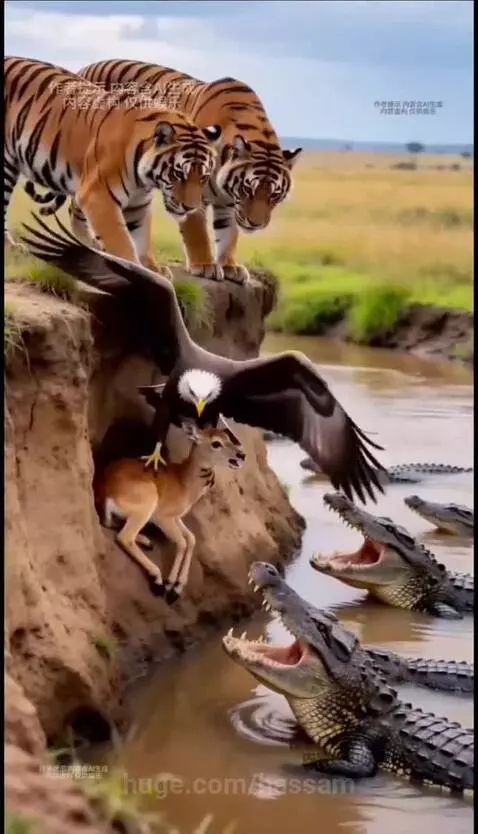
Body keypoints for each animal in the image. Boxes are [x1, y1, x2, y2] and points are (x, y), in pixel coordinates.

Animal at [5, 56, 222, 278]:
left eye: (203, 177)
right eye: (179, 174)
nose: (190, 208)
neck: (144, 180)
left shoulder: (138, 205)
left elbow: (142, 238)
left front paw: (153, 268)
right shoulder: (99, 196)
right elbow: (122, 241)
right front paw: (135, 270)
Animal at [72, 59, 303, 285]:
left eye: (274, 195)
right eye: (248, 189)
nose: (256, 224)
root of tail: (85, 67)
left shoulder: (229, 202)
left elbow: (228, 233)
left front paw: (230, 266)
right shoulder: (194, 189)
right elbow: (197, 231)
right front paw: (206, 266)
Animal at [94, 418, 246, 604]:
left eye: (228, 437)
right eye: (216, 443)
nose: (241, 455)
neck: (184, 482)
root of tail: (106, 489)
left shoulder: (176, 517)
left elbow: (191, 539)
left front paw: (178, 587)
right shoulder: (163, 517)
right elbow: (182, 542)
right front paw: (170, 586)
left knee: (112, 525)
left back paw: (146, 541)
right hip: (146, 508)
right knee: (125, 537)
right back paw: (158, 580)